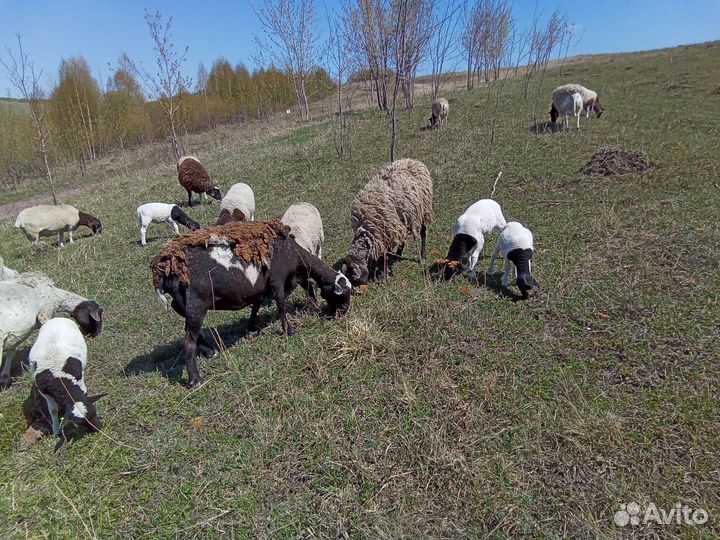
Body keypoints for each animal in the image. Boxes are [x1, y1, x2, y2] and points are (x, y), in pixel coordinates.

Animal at [151, 220, 352, 387]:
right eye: (343, 295)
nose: (343, 312)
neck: (293, 254)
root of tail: (165, 269)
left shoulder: (261, 288)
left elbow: (256, 306)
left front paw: (251, 328)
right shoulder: (277, 281)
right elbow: (281, 306)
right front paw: (290, 331)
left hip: (182, 305)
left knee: (190, 331)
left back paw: (209, 351)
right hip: (196, 304)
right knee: (188, 342)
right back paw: (194, 379)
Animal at [343, 158, 434, 286]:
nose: (362, 284)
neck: (365, 227)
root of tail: (413, 160)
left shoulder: (386, 231)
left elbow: (386, 254)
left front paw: (383, 276)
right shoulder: (383, 233)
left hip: (423, 209)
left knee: (423, 232)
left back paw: (423, 256)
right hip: (402, 219)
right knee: (403, 236)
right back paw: (399, 254)